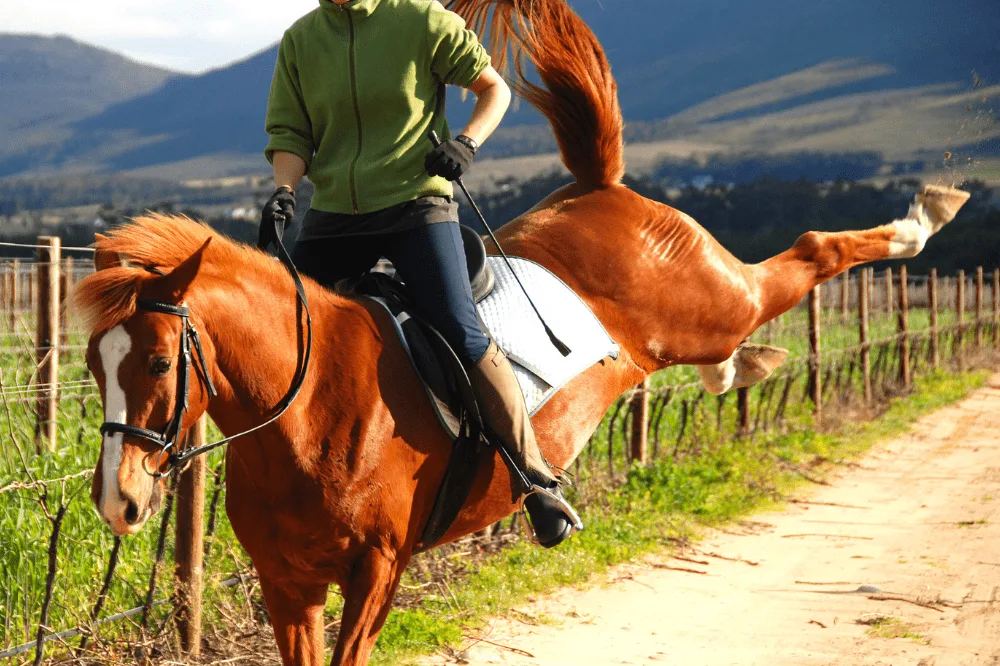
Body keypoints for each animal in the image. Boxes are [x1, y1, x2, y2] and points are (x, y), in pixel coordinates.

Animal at [76, 0, 971, 663]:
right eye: (93, 365)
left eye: (157, 363)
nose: (118, 502)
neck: (314, 406)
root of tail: (599, 189)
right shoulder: (287, 583)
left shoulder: (376, 571)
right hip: (696, 329)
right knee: (728, 347)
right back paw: (745, 369)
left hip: (712, 298)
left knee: (808, 256)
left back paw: (924, 215)